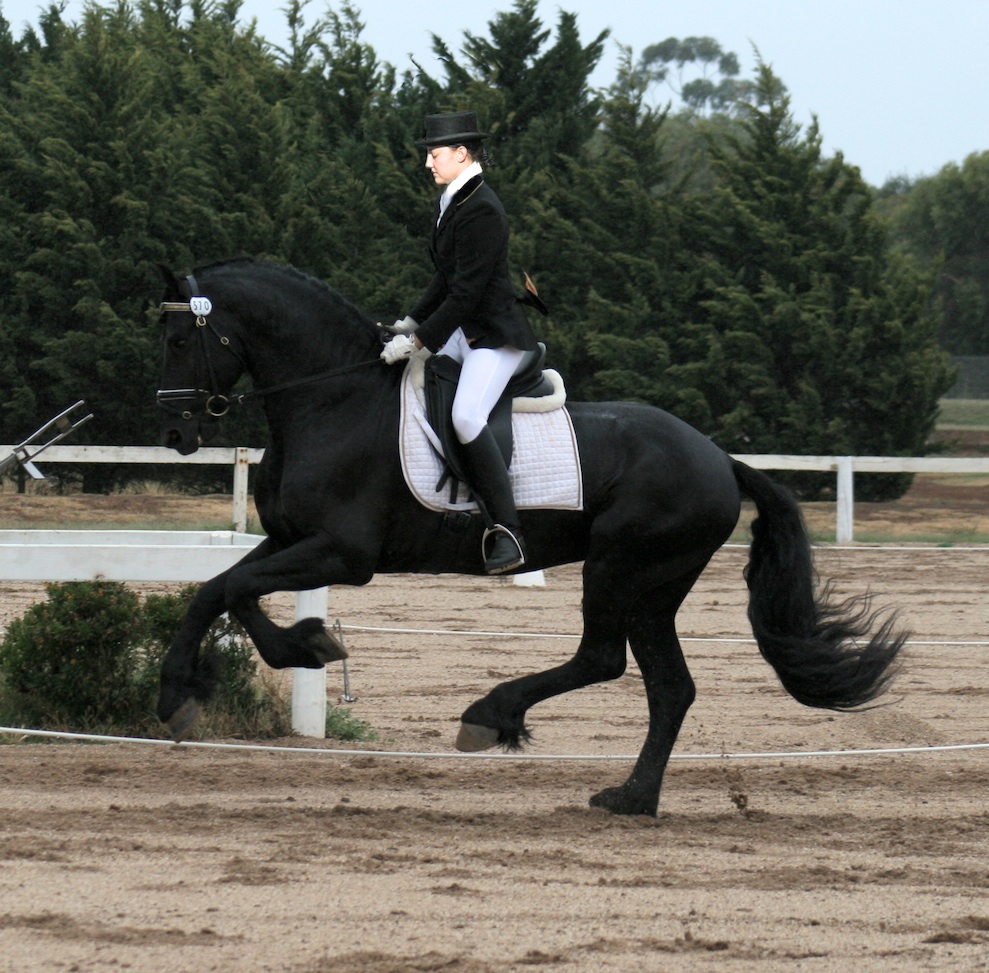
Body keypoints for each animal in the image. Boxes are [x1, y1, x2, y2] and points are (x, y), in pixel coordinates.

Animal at [154, 258, 904, 812]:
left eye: (181, 340)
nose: (175, 434)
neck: (330, 399)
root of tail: (720, 458)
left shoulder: (341, 552)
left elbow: (239, 592)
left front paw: (300, 647)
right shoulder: (290, 540)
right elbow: (218, 589)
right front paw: (184, 690)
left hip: (622, 568)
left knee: (603, 660)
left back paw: (493, 715)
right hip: (652, 588)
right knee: (669, 687)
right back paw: (631, 797)